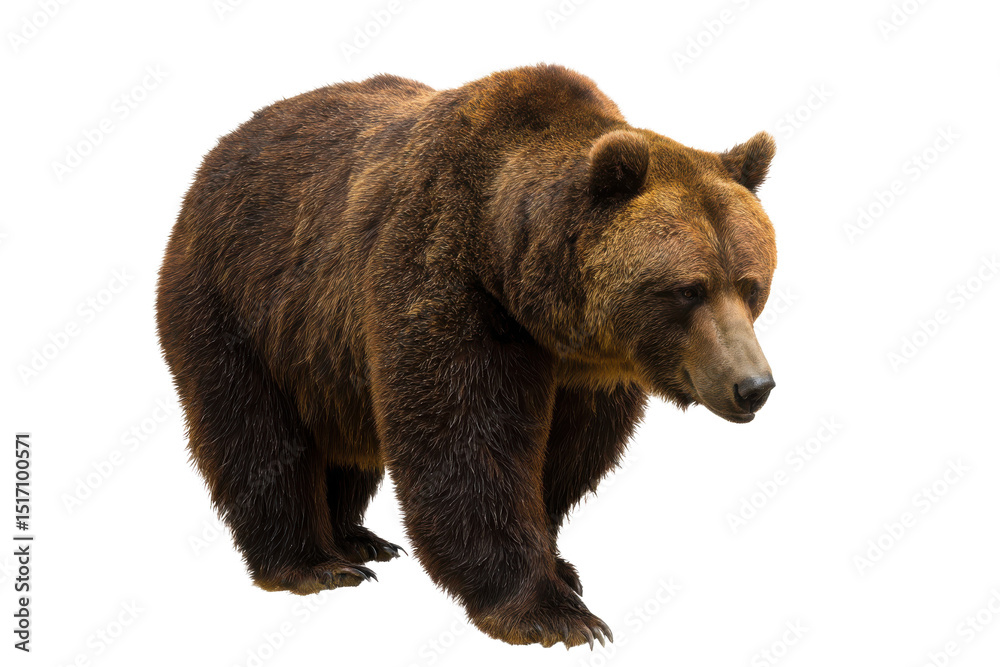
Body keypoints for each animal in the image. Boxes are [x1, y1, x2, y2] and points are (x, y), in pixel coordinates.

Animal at [156, 64, 777, 649]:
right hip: (239, 300)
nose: (753, 385)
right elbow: (466, 440)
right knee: (258, 434)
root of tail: (219, 152)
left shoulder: (589, 371)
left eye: (750, 284)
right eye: (689, 289)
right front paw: (555, 614)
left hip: (321, 351)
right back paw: (314, 562)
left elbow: (568, 454)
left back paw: (358, 538)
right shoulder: (443, 276)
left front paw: (560, 566)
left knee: (345, 437)